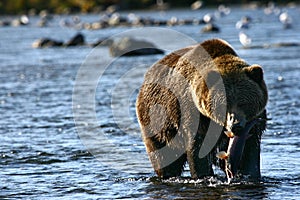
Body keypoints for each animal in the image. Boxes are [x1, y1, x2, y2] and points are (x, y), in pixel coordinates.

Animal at [136, 38, 268, 179]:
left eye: (243, 103)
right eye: (224, 105)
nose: (235, 125)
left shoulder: (254, 125)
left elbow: (250, 151)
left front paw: (250, 173)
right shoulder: (193, 114)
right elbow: (197, 149)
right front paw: (203, 175)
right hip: (157, 122)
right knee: (164, 157)